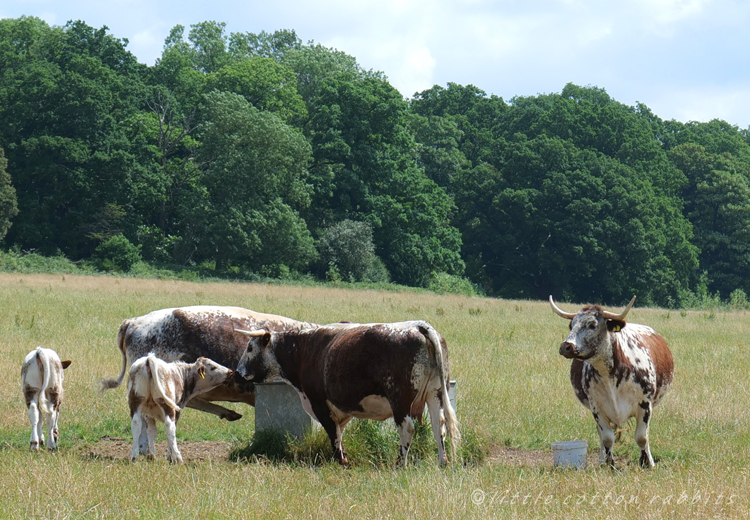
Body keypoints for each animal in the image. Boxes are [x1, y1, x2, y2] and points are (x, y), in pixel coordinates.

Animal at [235, 320, 462, 468]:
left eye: (250, 347)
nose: (237, 373)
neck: (303, 350)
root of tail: (418, 326)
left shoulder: (320, 404)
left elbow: (333, 434)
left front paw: (341, 461)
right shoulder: (341, 410)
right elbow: (339, 432)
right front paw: (342, 457)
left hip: (400, 399)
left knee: (407, 429)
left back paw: (399, 464)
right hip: (435, 394)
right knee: (439, 426)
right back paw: (442, 462)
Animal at [548, 294, 680, 470]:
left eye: (592, 325)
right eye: (571, 324)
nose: (566, 346)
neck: (610, 373)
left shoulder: (645, 405)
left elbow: (642, 437)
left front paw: (646, 463)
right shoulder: (597, 408)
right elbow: (607, 438)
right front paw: (609, 464)